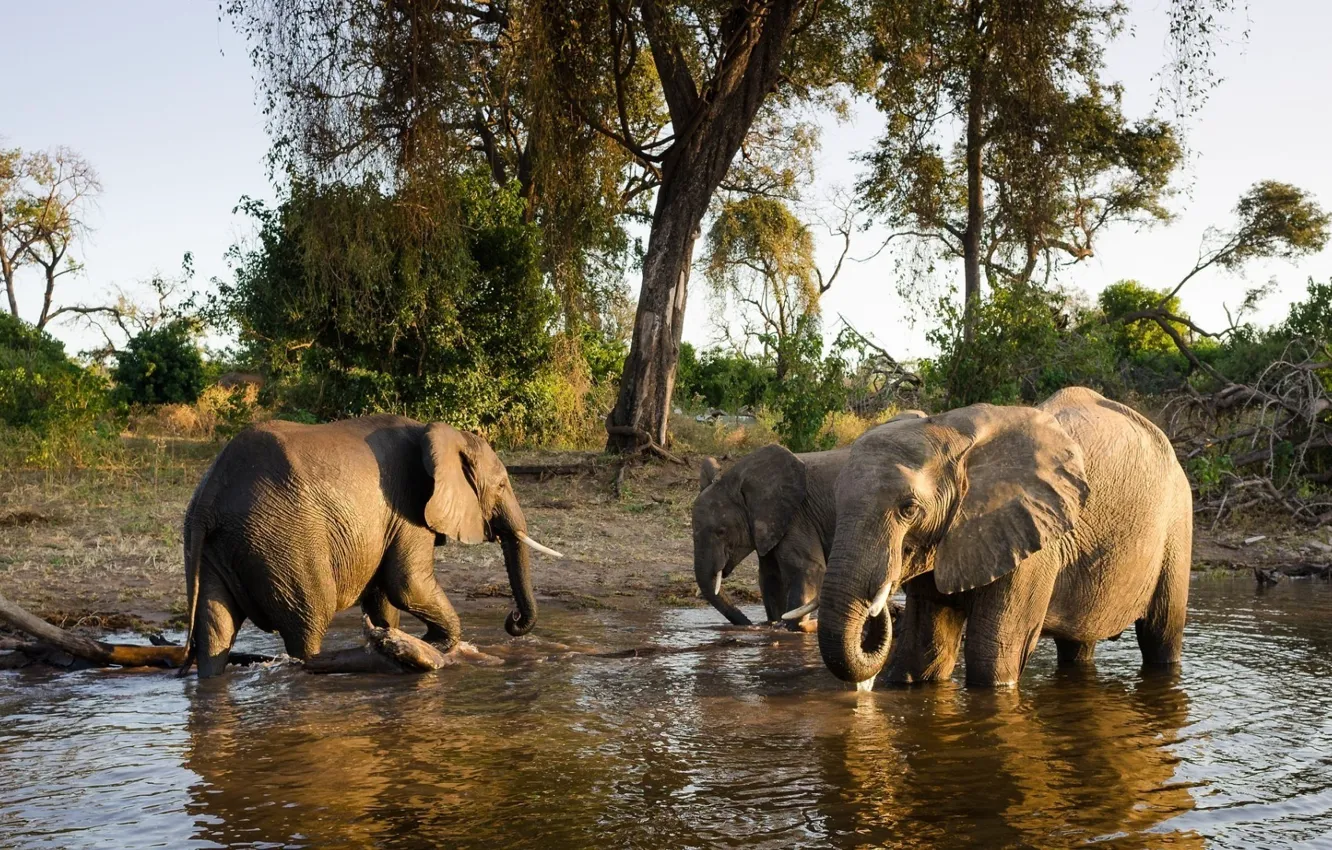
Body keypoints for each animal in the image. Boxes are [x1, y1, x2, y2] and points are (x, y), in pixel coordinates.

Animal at [180, 414, 561, 677]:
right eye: (502, 485)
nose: (512, 619)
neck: (439, 434)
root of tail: (209, 498)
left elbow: (384, 597)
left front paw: (399, 637)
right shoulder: (410, 504)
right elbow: (406, 585)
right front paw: (429, 644)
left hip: (212, 545)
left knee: (215, 632)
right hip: (283, 542)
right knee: (309, 624)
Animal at [692, 411, 926, 630]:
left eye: (721, 531)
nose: (749, 625)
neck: (738, 476)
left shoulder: (797, 516)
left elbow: (805, 568)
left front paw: (792, 627)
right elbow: (770, 577)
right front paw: (774, 624)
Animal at [814, 386, 1192, 688]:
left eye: (908, 509)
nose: (881, 609)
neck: (951, 430)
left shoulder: (1033, 543)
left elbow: (991, 657)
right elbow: (924, 653)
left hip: (1177, 522)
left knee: (1161, 635)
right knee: (1077, 643)